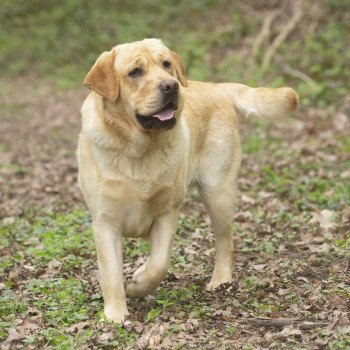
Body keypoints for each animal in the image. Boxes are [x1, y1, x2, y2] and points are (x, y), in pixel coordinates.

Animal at [78, 38, 298, 322]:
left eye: (166, 64)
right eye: (135, 72)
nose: (171, 86)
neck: (140, 150)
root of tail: (216, 86)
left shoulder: (167, 212)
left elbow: (158, 265)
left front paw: (138, 285)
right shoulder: (105, 222)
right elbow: (111, 274)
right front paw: (116, 315)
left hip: (218, 192)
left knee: (225, 242)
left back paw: (220, 280)